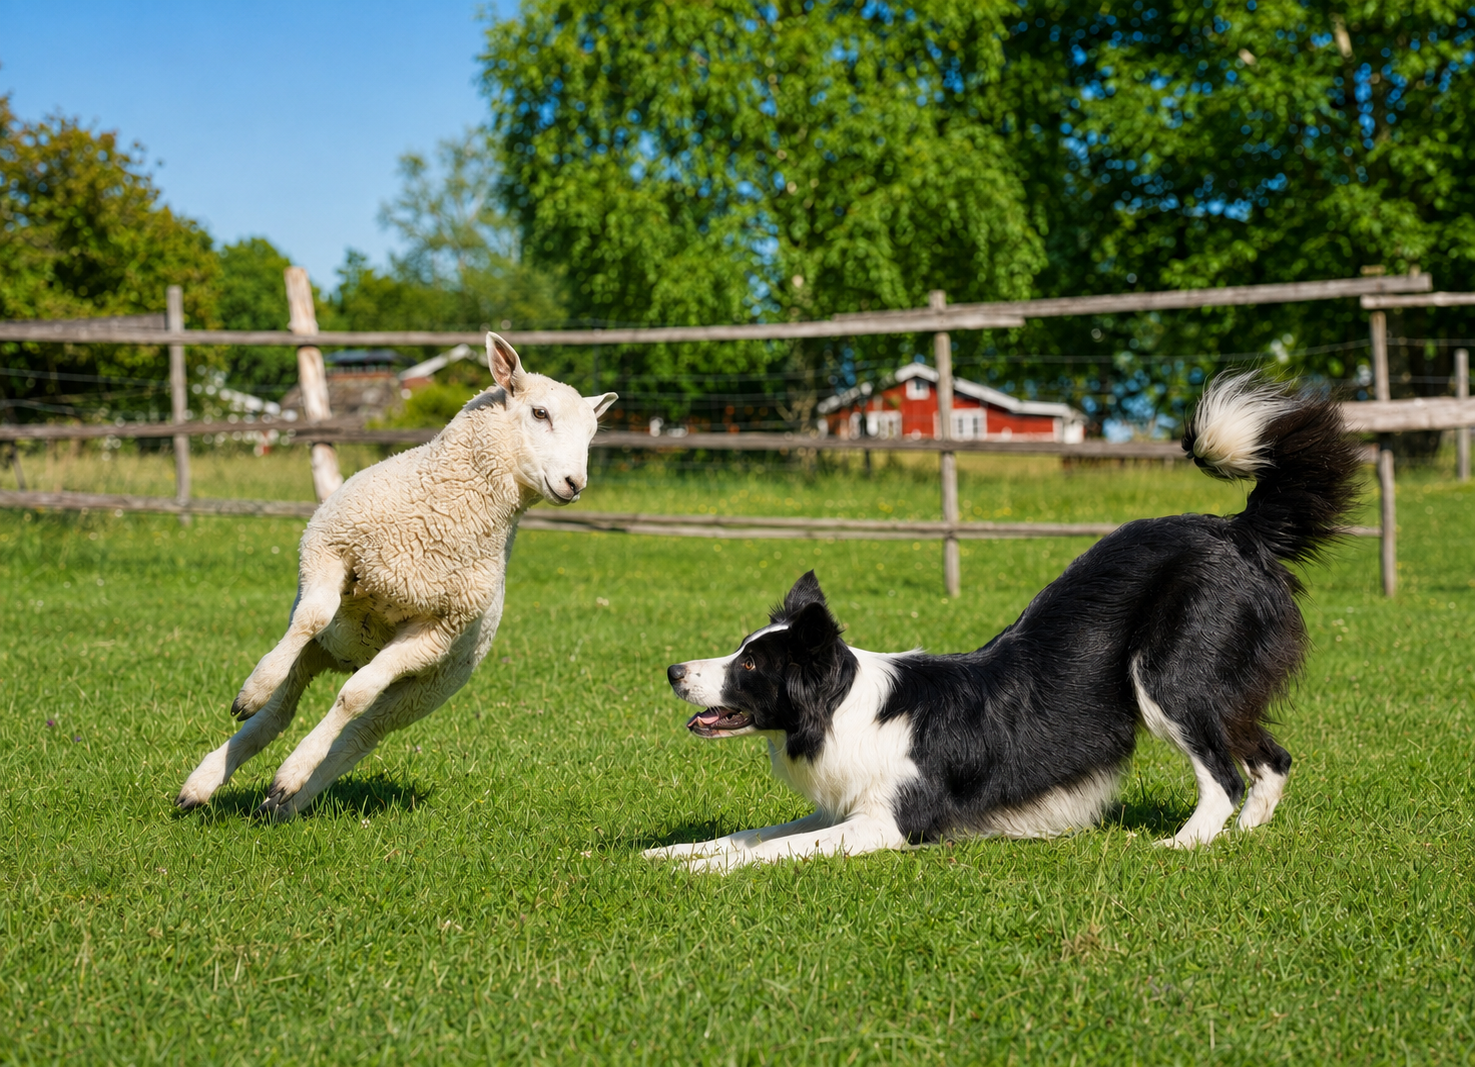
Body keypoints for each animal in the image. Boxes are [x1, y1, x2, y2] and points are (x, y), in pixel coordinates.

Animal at [176, 333, 616, 819]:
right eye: (539, 413)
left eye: (592, 435)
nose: (575, 483)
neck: (449, 513)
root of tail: (346, 656)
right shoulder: (328, 547)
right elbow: (312, 616)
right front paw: (251, 690)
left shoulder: (438, 632)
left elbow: (355, 696)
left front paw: (292, 774)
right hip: (321, 646)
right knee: (277, 710)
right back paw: (206, 779)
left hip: (424, 690)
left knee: (357, 736)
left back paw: (286, 797)